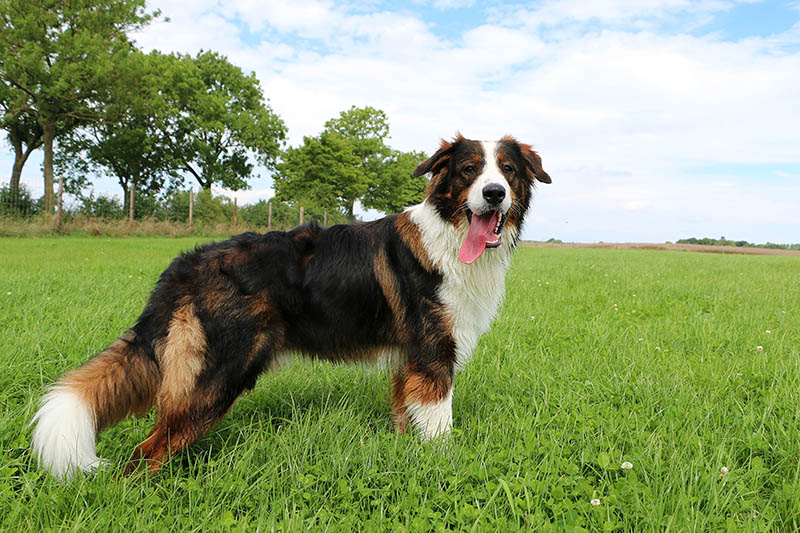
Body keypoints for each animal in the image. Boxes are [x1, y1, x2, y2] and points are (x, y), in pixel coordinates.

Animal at [29, 133, 552, 478]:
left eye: (507, 171)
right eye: (468, 171)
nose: (494, 194)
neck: (451, 235)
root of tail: (187, 264)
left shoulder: (410, 362)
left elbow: (408, 419)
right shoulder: (432, 354)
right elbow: (440, 426)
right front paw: (445, 465)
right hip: (215, 377)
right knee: (146, 453)